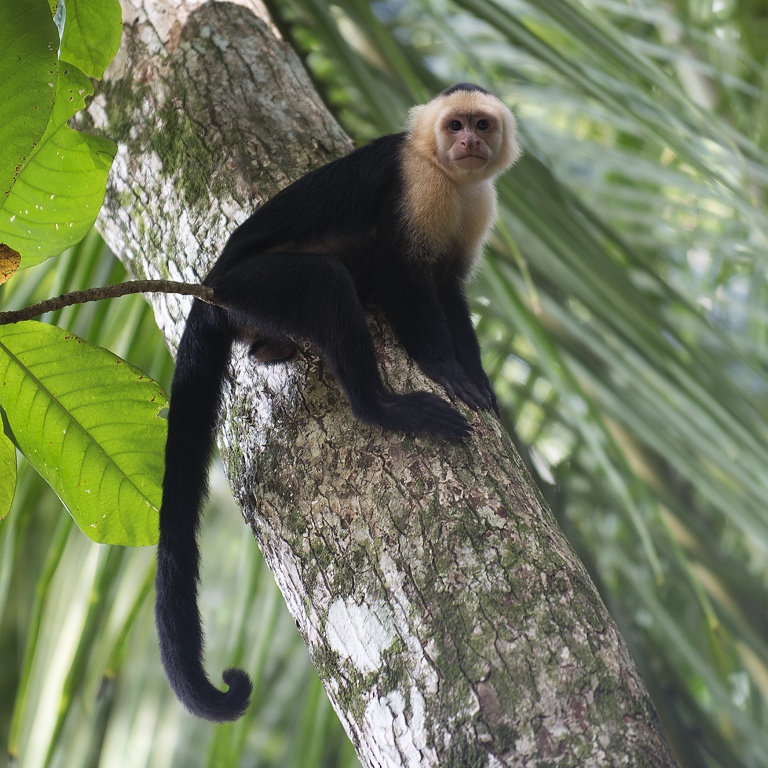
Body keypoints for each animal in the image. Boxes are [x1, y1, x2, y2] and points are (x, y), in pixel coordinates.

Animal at [155, 83, 521, 721]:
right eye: (454, 126)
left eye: (482, 125)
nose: (470, 143)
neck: (449, 178)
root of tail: (210, 286)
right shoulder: (417, 184)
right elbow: (408, 276)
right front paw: (446, 370)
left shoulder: (477, 199)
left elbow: (447, 285)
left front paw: (477, 377)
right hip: (254, 286)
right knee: (327, 282)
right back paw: (383, 408)